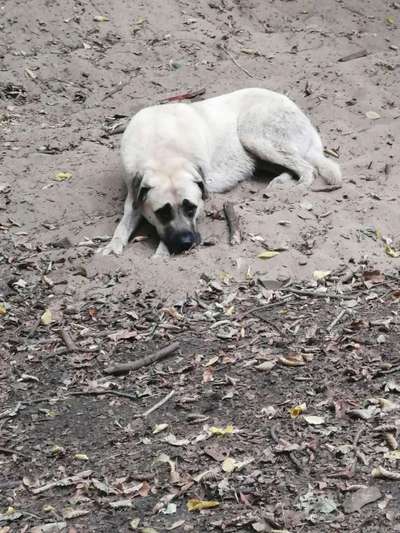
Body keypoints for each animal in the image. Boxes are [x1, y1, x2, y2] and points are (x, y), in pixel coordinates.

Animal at [101, 86, 342, 256]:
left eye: (191, 208)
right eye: (162, 212)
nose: (185, 244)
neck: (164, 151)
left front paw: (161, 253)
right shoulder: (134, 195)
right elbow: (123, 224)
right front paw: (113, 245)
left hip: (252, 135)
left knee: (307, 169)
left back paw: (293, 189)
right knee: (294, 168)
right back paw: (280, 183)